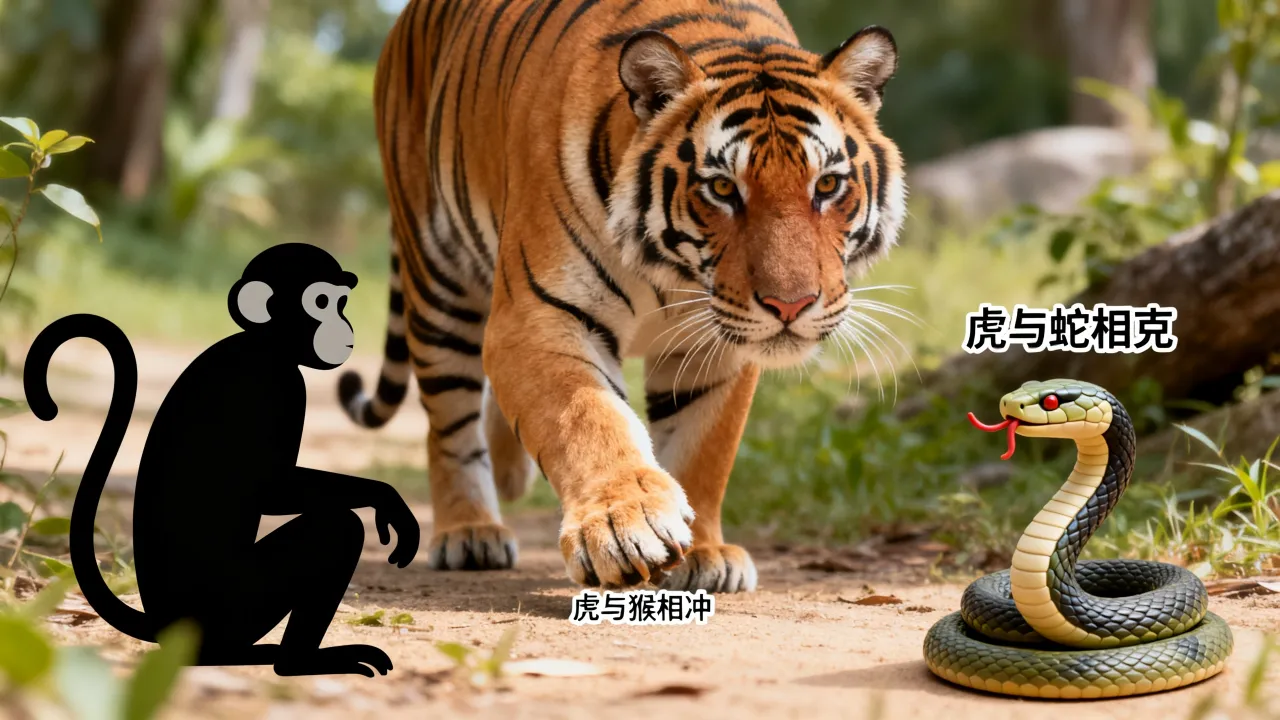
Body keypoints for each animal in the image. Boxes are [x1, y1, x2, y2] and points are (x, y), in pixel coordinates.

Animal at [338, 0, 907, 593]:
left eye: (827, 185)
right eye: (722, 188)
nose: (790, 306)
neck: (675, 271)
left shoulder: (715, 347)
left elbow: (704, 450)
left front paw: (705, 554)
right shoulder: (541, 317)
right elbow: (589, 419)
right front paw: (623, 526)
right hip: (440, 281)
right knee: (448, 423)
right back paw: (469, 531)